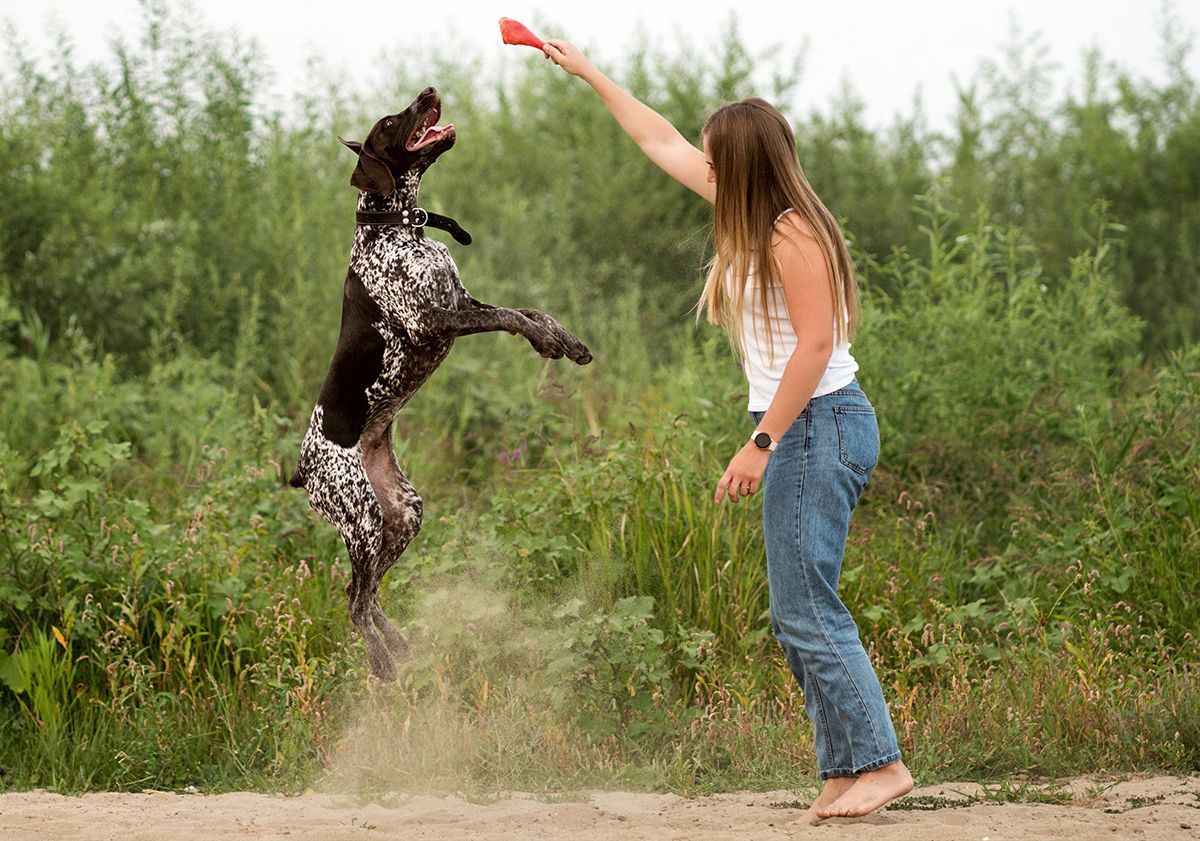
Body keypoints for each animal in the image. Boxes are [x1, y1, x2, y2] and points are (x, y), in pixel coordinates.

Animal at [290, 85, 590, 681]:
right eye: (390, 121)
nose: (429, 91)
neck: (398, 225)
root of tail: (302, 467)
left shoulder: (460, 300)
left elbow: (526, 310)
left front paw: (562, 340)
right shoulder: (433, 318)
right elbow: (512, 317)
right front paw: (545, 340)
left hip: (402, 515)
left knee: (371, 595)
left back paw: (401, 648)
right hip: (361, 519)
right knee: (354, 601)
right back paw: (383, 663)